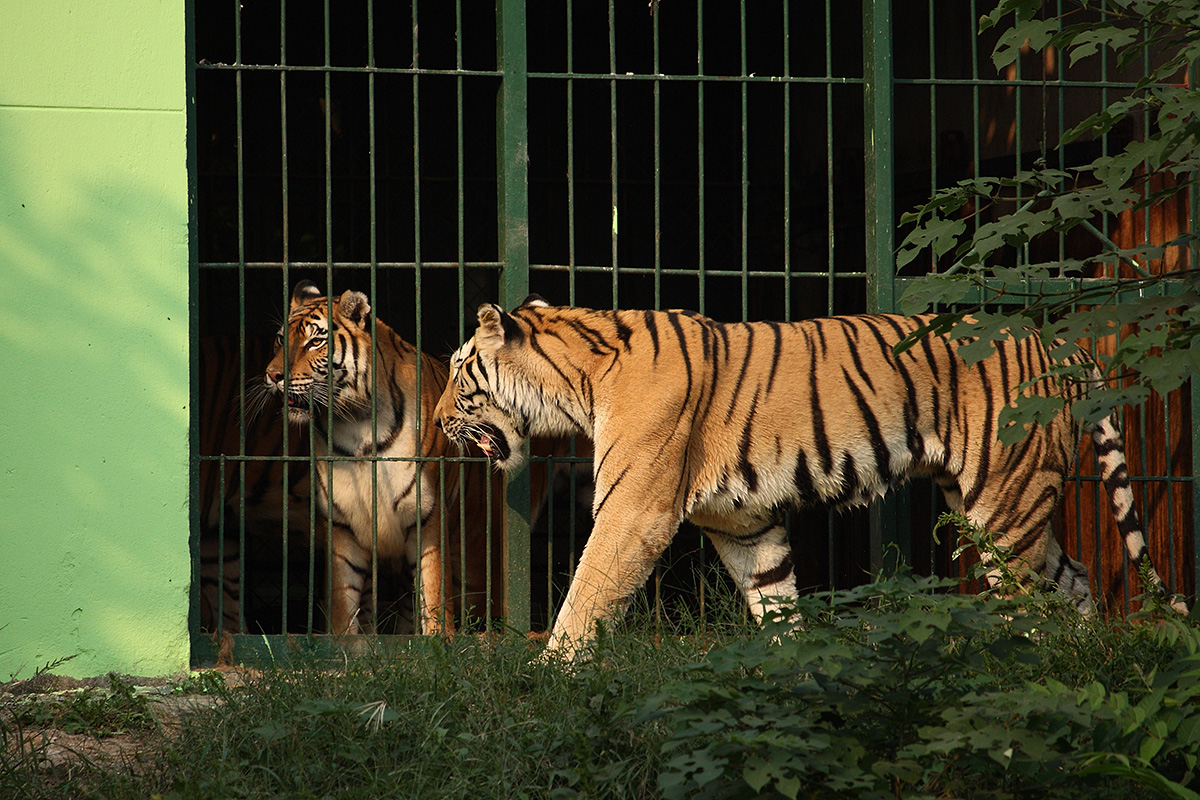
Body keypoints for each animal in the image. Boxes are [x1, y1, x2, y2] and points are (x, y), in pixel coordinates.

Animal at [432, 297, 1180, 662]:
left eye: (460, 376)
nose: (436, 421)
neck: (578, 380)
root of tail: (1060, 343)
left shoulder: (634, 510)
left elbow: (587, 594)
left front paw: (550, 672)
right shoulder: (742, 521)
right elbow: (774, 598)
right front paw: (790, 673)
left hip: (1006, 501)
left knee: (1031, 602)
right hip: (999, 503)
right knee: (1074, 579)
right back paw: (1080, 668)